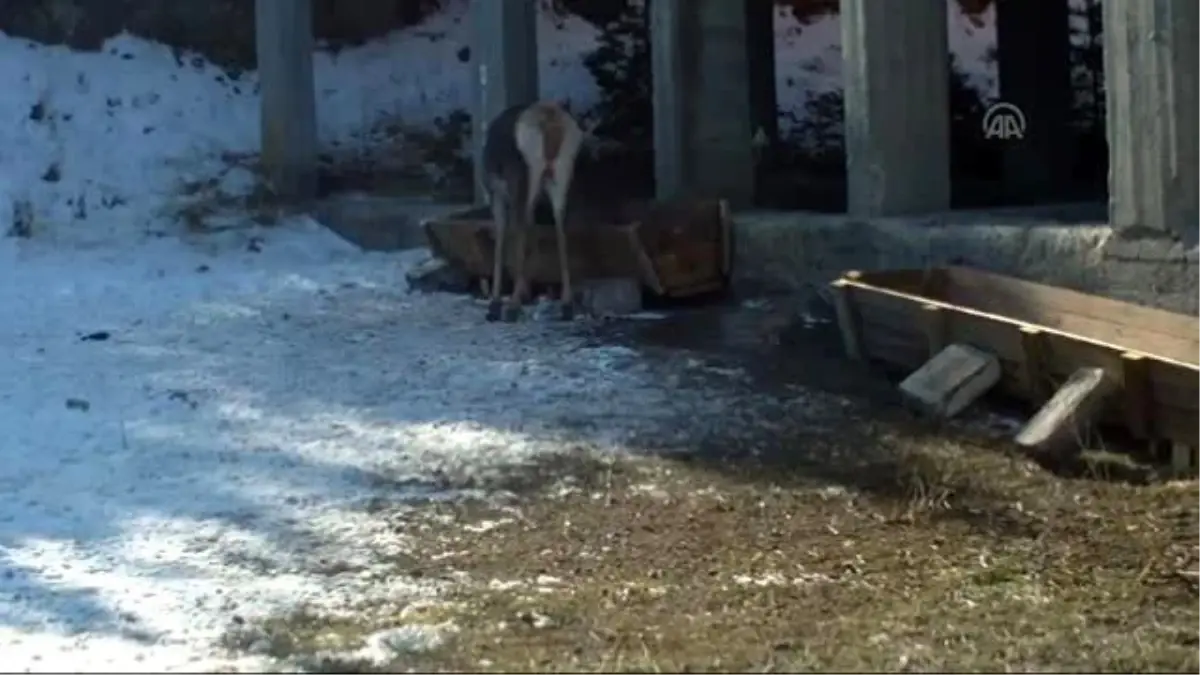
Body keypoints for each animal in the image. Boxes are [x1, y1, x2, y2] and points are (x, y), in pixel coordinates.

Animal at [482, 98, 585, 321]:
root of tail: (550, 122)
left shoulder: (497, 192)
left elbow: (501, 241)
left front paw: (496, 303)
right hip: (561, 173)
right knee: (560, 227)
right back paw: (566, 305)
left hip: (525, 177)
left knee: (520, 231)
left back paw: (512, 307)